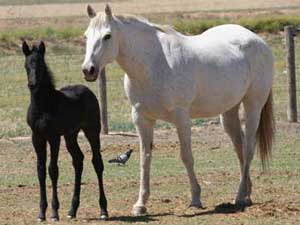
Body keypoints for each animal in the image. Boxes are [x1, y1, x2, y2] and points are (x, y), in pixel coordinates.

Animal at [22, 41, 109, 221]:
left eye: (40, 65)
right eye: (26, 65)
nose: (32, 84)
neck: (43, 105)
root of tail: (87, 90)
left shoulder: (54, 137)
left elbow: (53, 170)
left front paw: (54, 213)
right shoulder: (37, 137)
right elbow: (41, 171)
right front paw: (41, 214)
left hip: (92, 130)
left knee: (97, 162)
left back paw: (103, 210)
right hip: (71, 135)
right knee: (78, 160)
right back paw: (72, 210)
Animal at [81, 4, 274, 216]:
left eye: (107, 36)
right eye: (86, 35)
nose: (88, 70)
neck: (154, 64)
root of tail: (257, 40)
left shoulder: (181, 117)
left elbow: (186, 157)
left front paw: (196, 198)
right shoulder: (142, 118)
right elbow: (144, 159)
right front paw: (140, 204)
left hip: (253, 106)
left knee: (249, 147)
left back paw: (239, 196)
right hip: (229, 112)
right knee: (240, 147)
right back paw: (246, 194)